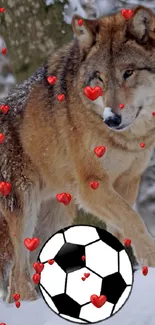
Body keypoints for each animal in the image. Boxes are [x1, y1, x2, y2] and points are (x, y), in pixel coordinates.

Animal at [0, 5, 155, 302]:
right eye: (99, 78)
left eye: (128, 72)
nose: (112, 119)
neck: (127, 139)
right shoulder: (91, 185)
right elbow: (134, 220)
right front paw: (151, 260)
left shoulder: (129, 181)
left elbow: (123, 227)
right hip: (25, 209)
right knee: (18, 276)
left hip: (56, 214)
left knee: (22, 275)